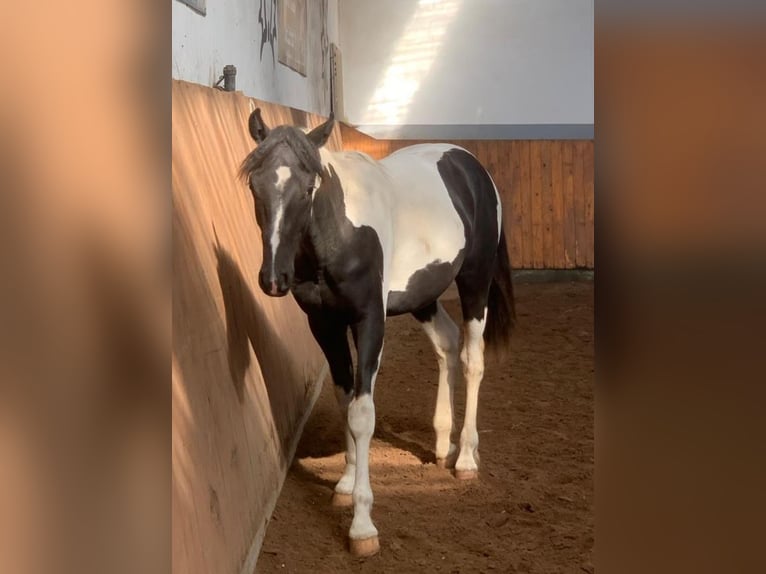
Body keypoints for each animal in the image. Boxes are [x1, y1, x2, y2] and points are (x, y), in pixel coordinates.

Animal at [240, 108, 516, 560]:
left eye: (309, 186)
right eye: (254, 183)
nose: (273, 279)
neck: (340, 233)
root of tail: (471, 166)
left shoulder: (370, 320)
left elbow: (362, 413)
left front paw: (362, 525)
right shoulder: (324, 324)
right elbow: (344, 399)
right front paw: (346, 483)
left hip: (475, 284)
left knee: (472, 361)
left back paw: (466, 459)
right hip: (423, 296)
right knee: (447, 343)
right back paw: (442, 445)